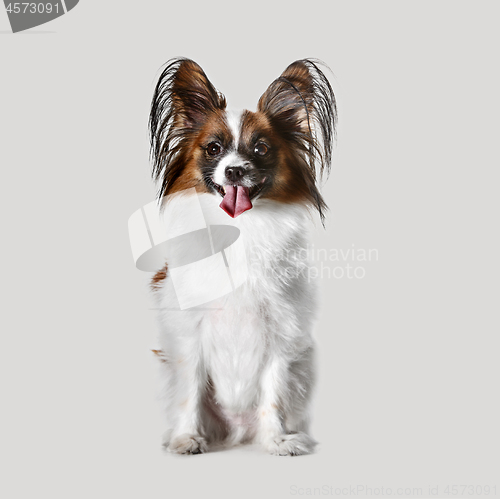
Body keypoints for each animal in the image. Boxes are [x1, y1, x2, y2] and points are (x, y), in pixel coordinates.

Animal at [148, 56, 336, 456]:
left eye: (261, 149)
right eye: (213, 149)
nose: (234, 170)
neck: (241, 230)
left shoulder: (282, 331)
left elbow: (274, 392)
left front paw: (276, 441)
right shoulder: (189, 334)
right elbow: (189, 391)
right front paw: (186, 438)